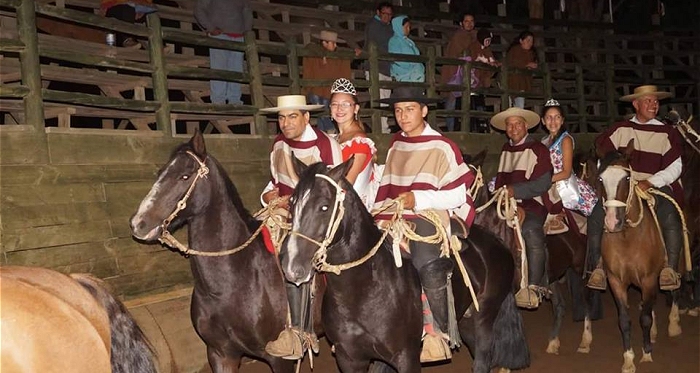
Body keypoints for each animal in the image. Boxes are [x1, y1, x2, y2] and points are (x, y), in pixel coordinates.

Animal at [282, 158, 528, 372]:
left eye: (324, 207)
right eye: (292, 203)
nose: (293, 267)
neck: (365, 290)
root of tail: (497, 242)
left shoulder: (406, 357)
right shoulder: (349, 357)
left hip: (484, 318)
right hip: (466, 321)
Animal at [464, 148, 600, 354]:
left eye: (469, 177)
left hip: (579, 269)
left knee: (586, 301)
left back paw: (585, 341)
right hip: (552, 275)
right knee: (560, 306)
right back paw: (553, 342)